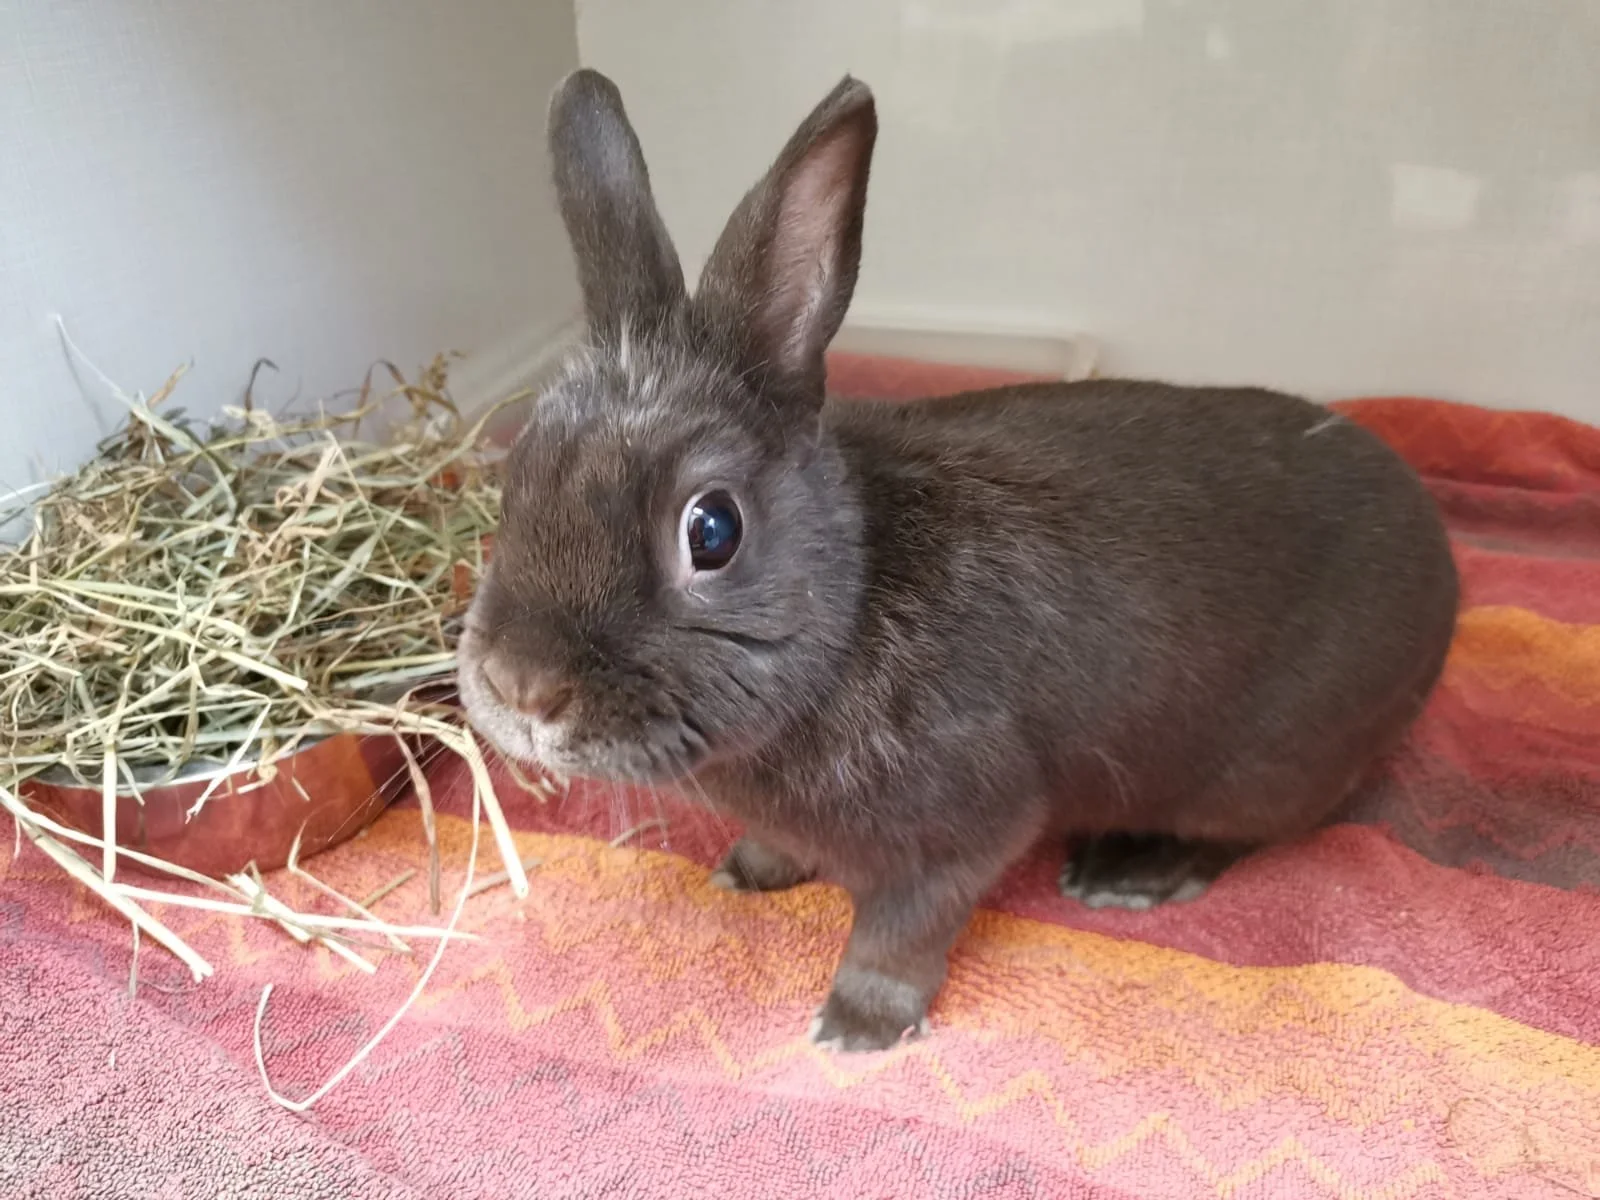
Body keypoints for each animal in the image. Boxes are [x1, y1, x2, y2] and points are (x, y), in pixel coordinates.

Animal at [457, 69, 1460, 1053]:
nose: (519, 686)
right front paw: (749, 870)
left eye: (712, 530)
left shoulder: (958, 835)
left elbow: (901, 932)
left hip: (1264, 768)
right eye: (518, 478)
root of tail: (1441, 557)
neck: (854, 597)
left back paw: (1127, 872)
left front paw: (855, 1028)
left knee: (1244, 831)